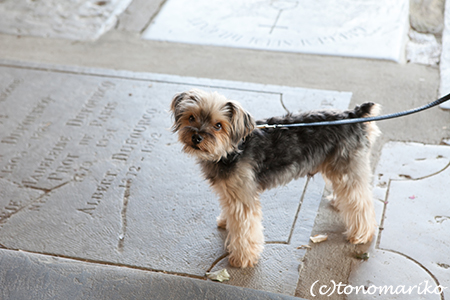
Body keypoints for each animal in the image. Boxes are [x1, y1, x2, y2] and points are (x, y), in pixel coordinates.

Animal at [171, 88, 382, 268]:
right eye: (191, 117)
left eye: (218, 126)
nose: (196, 137)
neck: (231, 150)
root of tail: (354, 115)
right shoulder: (230, 191)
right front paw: (225, 221)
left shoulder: (243, 198)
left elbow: (244, 228)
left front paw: (242, 258)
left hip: (347, 167)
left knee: (360, 200)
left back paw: (361, 234)